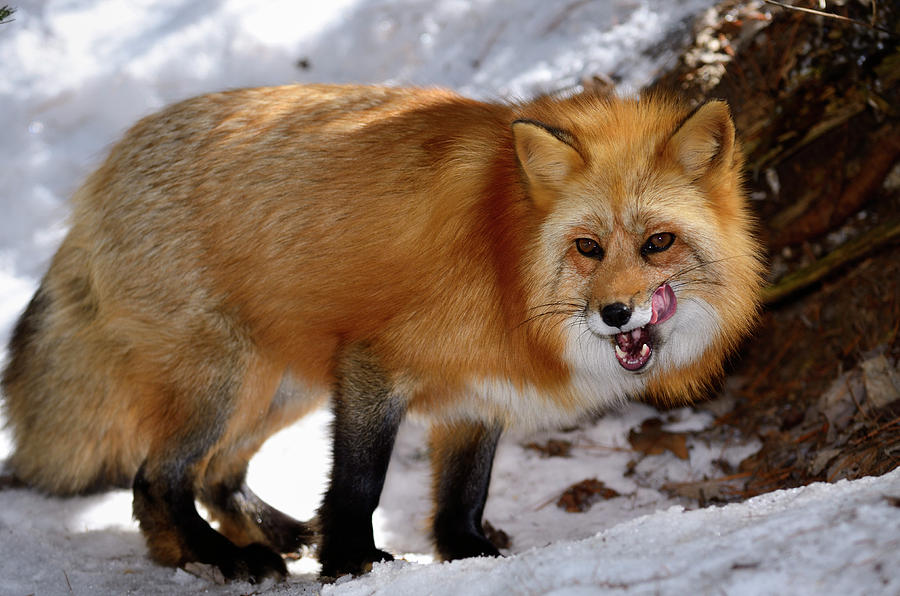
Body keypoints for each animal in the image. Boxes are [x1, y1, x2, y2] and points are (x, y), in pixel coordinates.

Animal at [0, 84, 764, 584]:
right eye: (588, 248)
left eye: (659, 242)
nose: (616, 314)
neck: (501, 253)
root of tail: (102, 174)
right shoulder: (375, 363)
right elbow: (359, 482)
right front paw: (350, 562)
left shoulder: (478, 393)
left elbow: (463, 494)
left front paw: (466, 554)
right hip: (227, 380)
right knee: (155, 481)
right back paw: (218, 557)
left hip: (282, 387)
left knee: (217, 475)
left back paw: (274, 534)